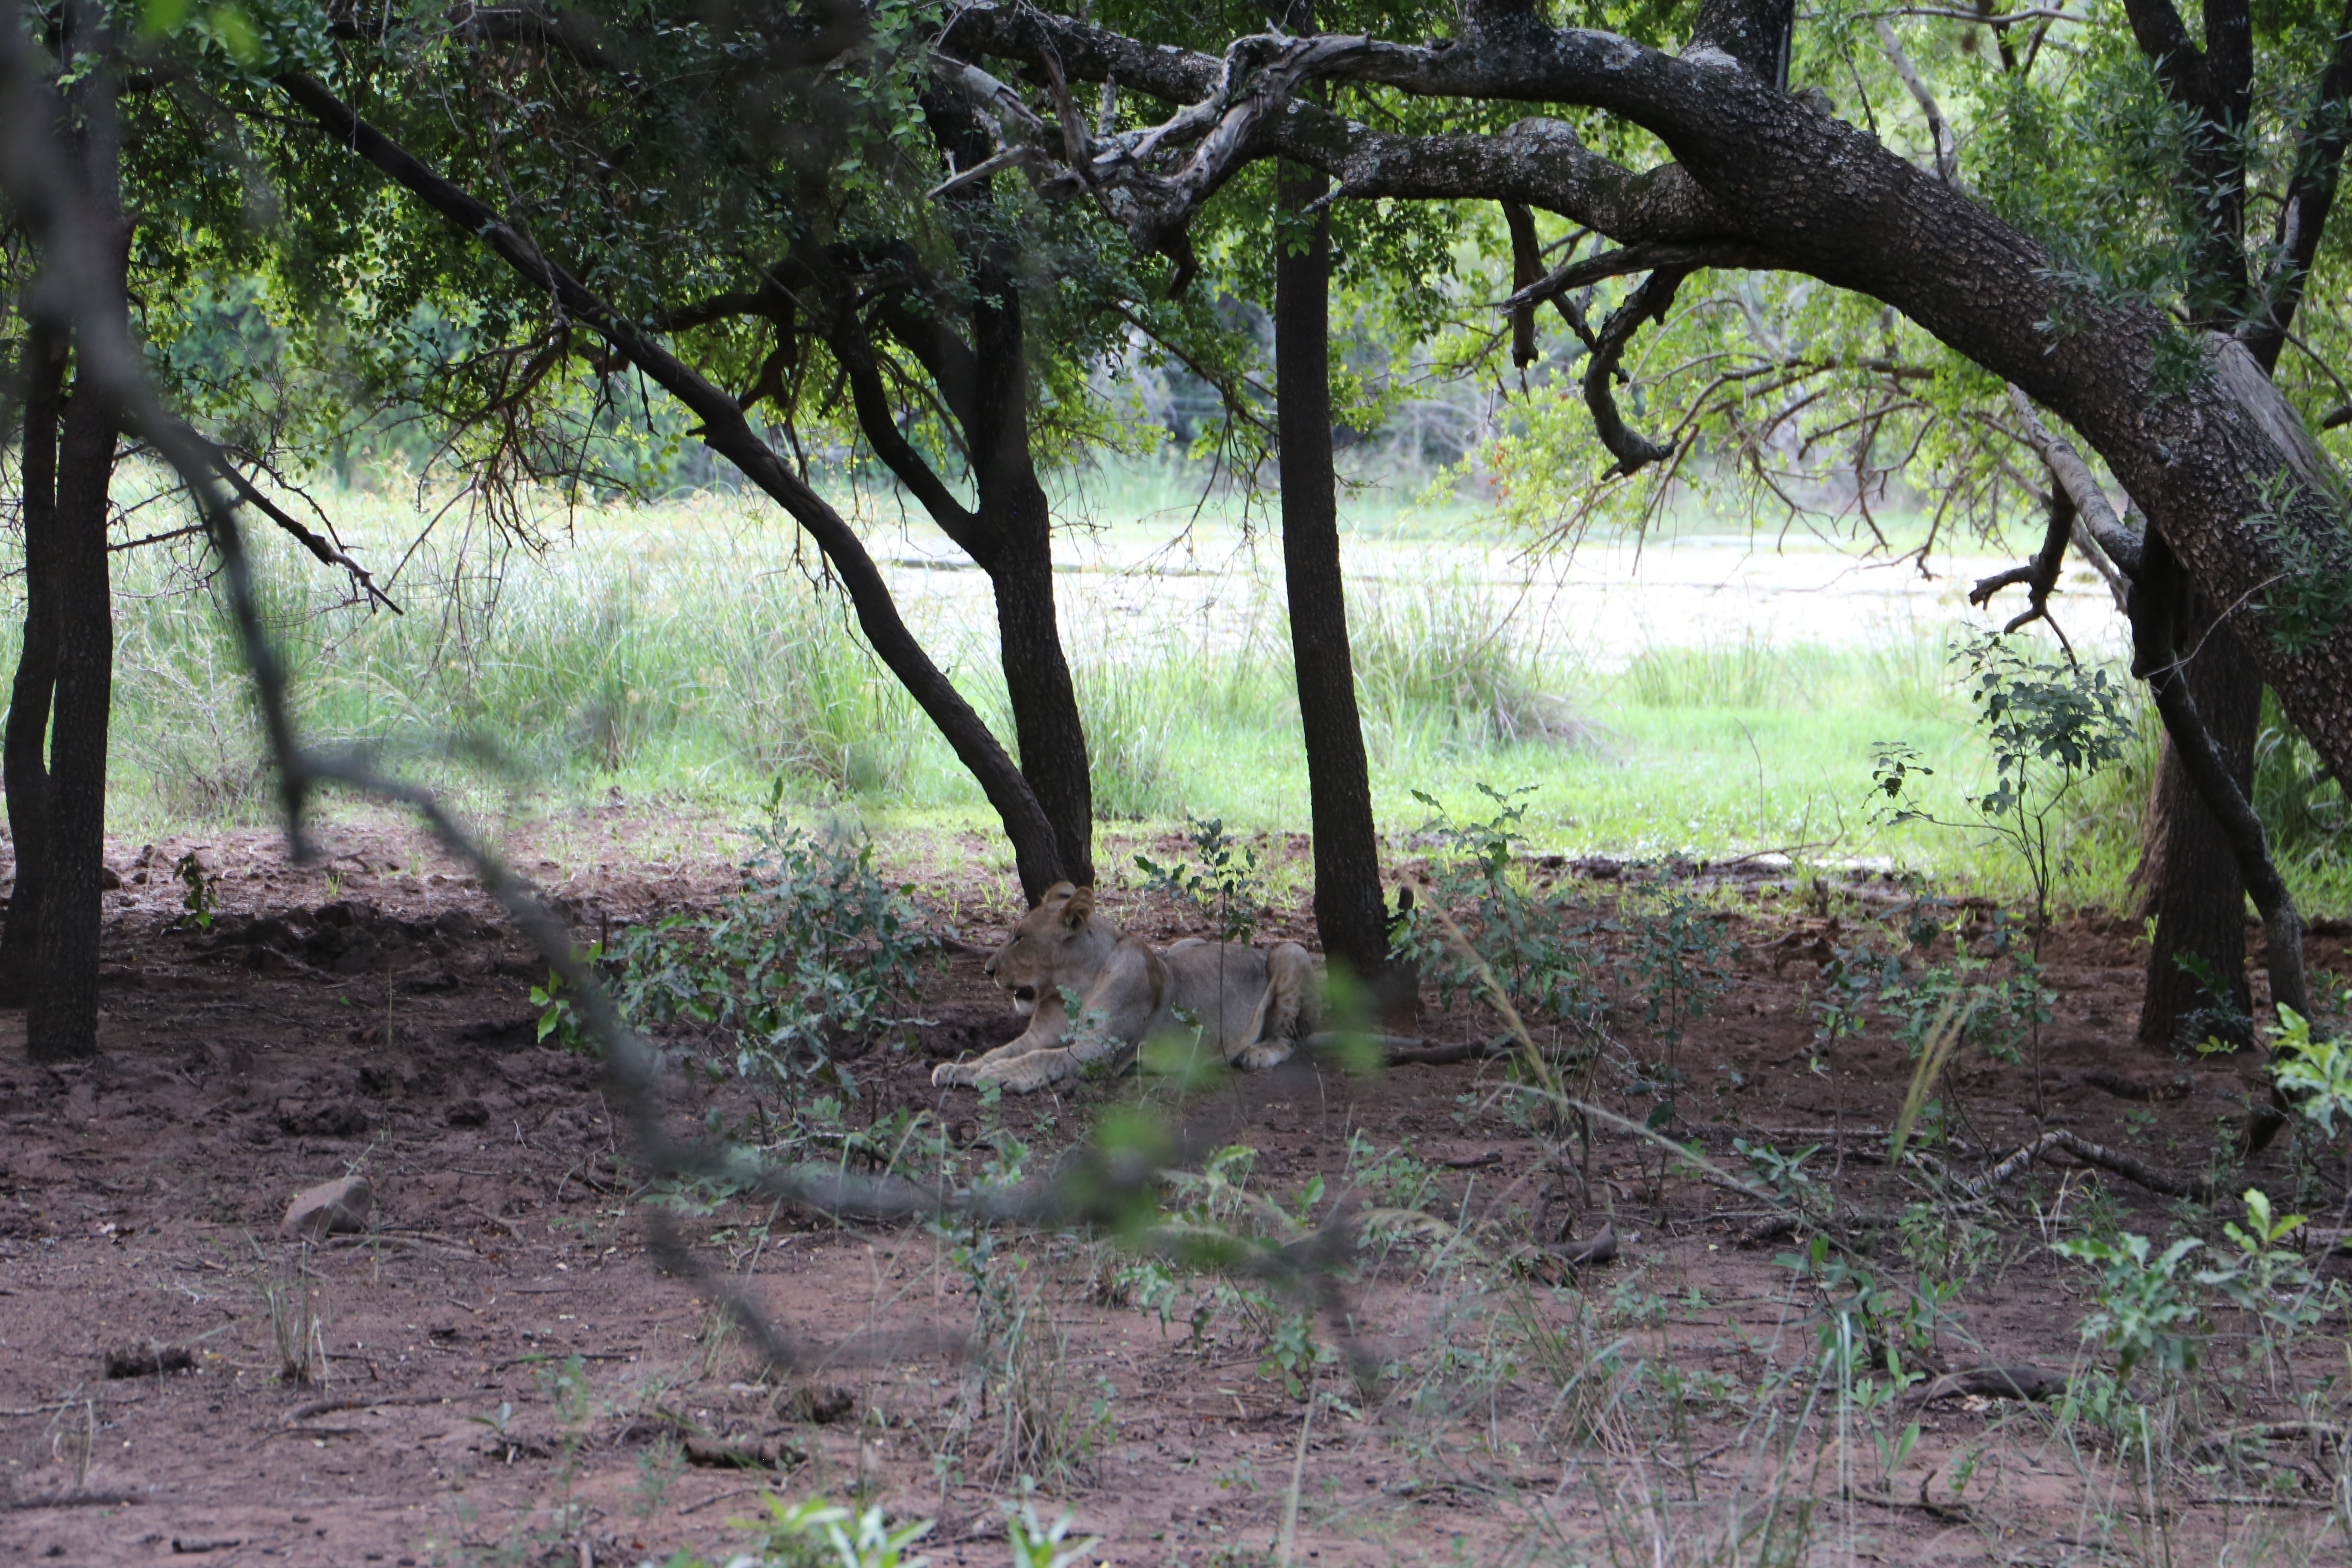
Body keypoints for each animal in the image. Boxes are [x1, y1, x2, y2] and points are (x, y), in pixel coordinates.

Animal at [930, 882, 1322, 1094]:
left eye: (1019, 938)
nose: (987, 970)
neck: (1073, 988)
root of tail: (1250, 948)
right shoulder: (1040, 1036)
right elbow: (1002, 1051)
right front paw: (961, 1068)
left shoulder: (1102, 1049)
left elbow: (1045, 1059)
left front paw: (1000, 1075)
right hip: (1182, 944)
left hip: (1291, 952)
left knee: (1291, 1038)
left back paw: (1258, 1053)